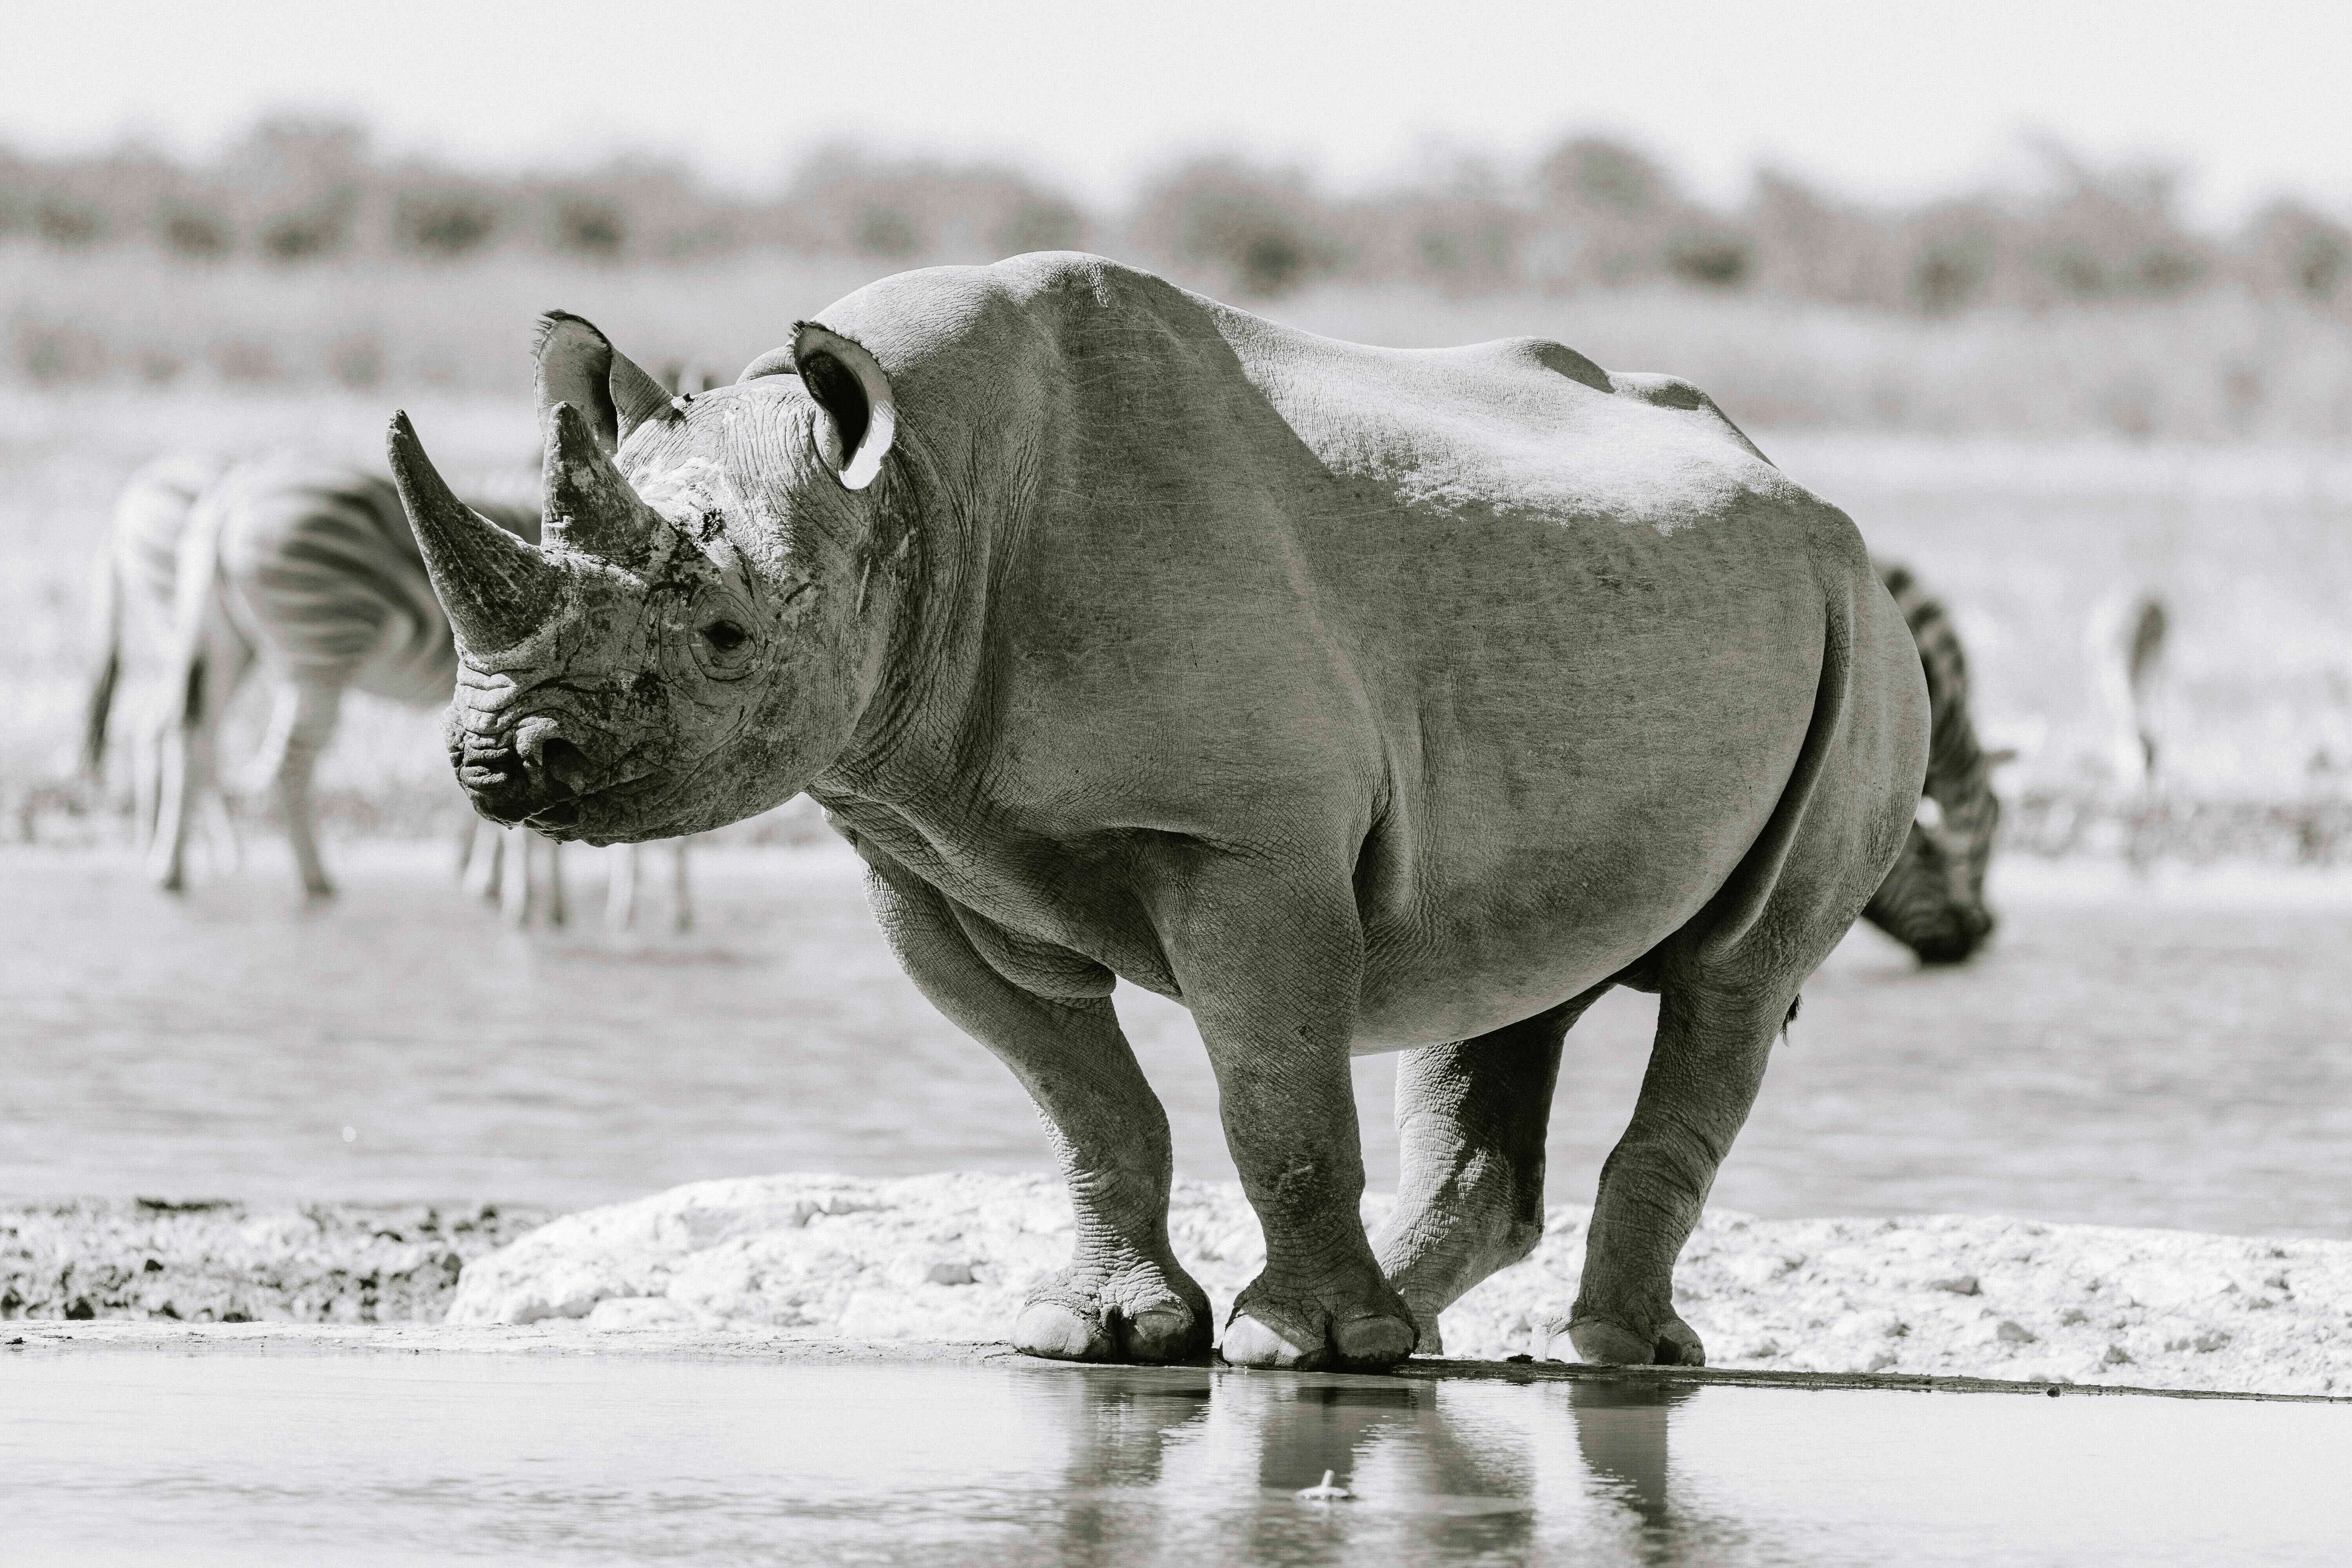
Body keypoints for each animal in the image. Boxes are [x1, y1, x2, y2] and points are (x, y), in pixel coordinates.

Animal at [388, 253, 1926, 1370]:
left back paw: (1599, 1358)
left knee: (1733, 976)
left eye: (720, 635)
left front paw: (1300, 1350)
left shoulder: (1247, 847)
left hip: (1860, 617)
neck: (915, 494)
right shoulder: (918, 845)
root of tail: (1794, 481)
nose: (498, 761)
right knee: (1507, 977)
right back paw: (1422, 1332)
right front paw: (1102, 1336)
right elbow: (1080, 1100)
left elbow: (1270, 1090)